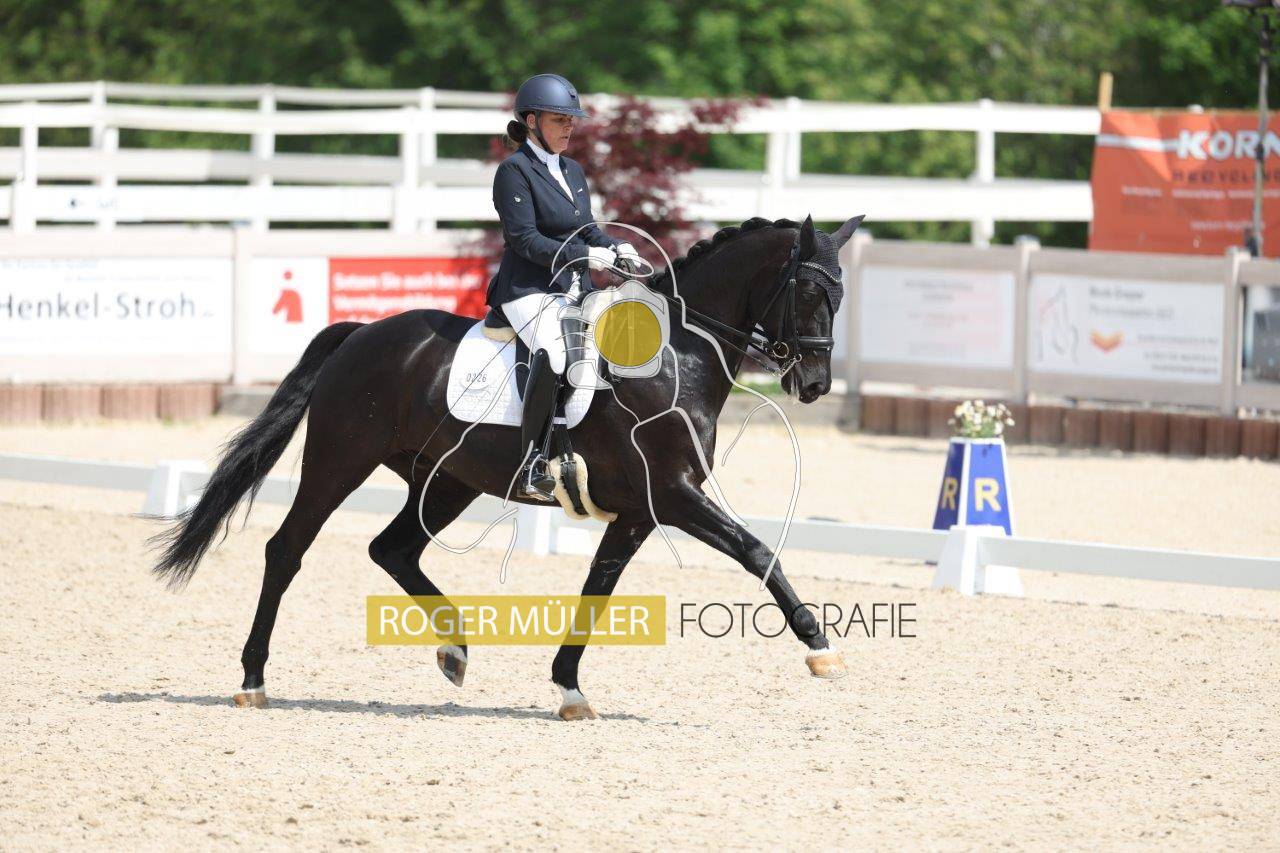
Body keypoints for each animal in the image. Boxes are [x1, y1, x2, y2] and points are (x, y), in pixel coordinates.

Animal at [150, 213, 864, 721]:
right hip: (339, 460)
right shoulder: (672, 493)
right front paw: (821, 647)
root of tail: (362, 333)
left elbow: (597, 590)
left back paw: (455, 650)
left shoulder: (637, 511)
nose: (815, 384)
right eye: (806, 289)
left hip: (446, 481)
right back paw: (253, 680)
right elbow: (756, 550)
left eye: (842, 295)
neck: (673, 355)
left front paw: (569, 689)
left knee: (393, 549)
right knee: (287, 550)